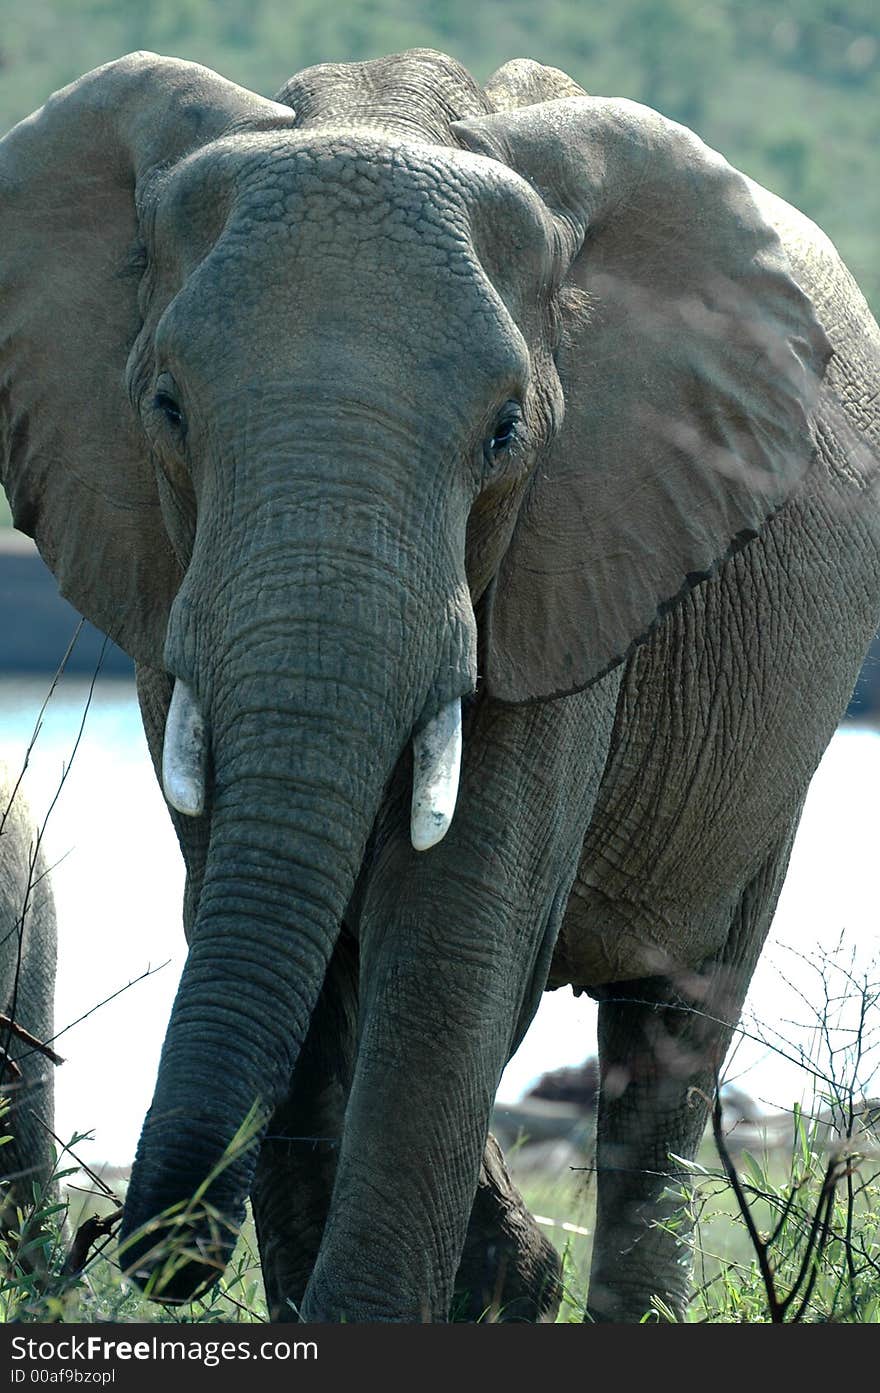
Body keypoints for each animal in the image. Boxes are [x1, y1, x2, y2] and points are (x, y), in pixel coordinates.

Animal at [1, 49, 880, 1320]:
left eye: (505, 432)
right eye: (164, 408)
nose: (154, 1244)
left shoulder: (578, 542)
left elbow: (451, 943)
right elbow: (267, 913)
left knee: (671, 1033)